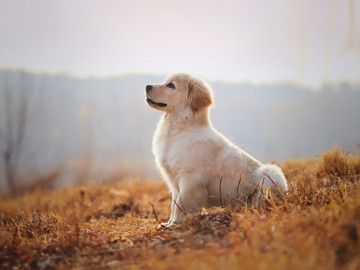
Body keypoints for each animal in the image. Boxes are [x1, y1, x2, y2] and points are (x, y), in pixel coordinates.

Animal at [145, 73, 288, 226]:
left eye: (171, 85)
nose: (147, 86)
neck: (180, 127)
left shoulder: (190, 178)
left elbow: (182, 203)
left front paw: (176, 224)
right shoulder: (174, 181)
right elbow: (174, 203)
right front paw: (168, 223)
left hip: (271, 173)